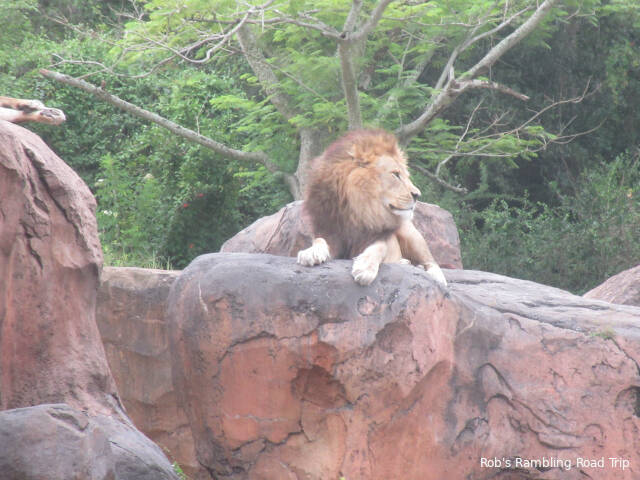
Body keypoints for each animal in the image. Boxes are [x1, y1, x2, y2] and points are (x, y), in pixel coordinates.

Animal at [297, 128, 447, 287]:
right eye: (396, 174)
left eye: (406, 176)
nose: (417, 195)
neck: (359, 211)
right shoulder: (330, 233)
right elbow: (319, 240)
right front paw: (311, 253)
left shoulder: (382, 238)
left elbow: (379, 247)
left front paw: (364, 267)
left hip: (410, 234)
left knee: (431, 261)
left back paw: (434, 276)